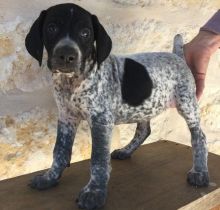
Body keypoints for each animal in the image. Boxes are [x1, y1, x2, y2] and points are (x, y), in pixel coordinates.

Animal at [24, 3, 209, 210]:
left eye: (85, 33)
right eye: (51, 28)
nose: (66, 55)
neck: (72, 82)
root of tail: (177, 56)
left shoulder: (100, 121)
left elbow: (98, 158)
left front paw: (94, 192)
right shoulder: (66, 117)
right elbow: (59, 151)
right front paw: (50, 177)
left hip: (187, 103)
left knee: (199, 137)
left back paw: (199, 172)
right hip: (146, 105)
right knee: (144, 130)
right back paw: (126, 151)